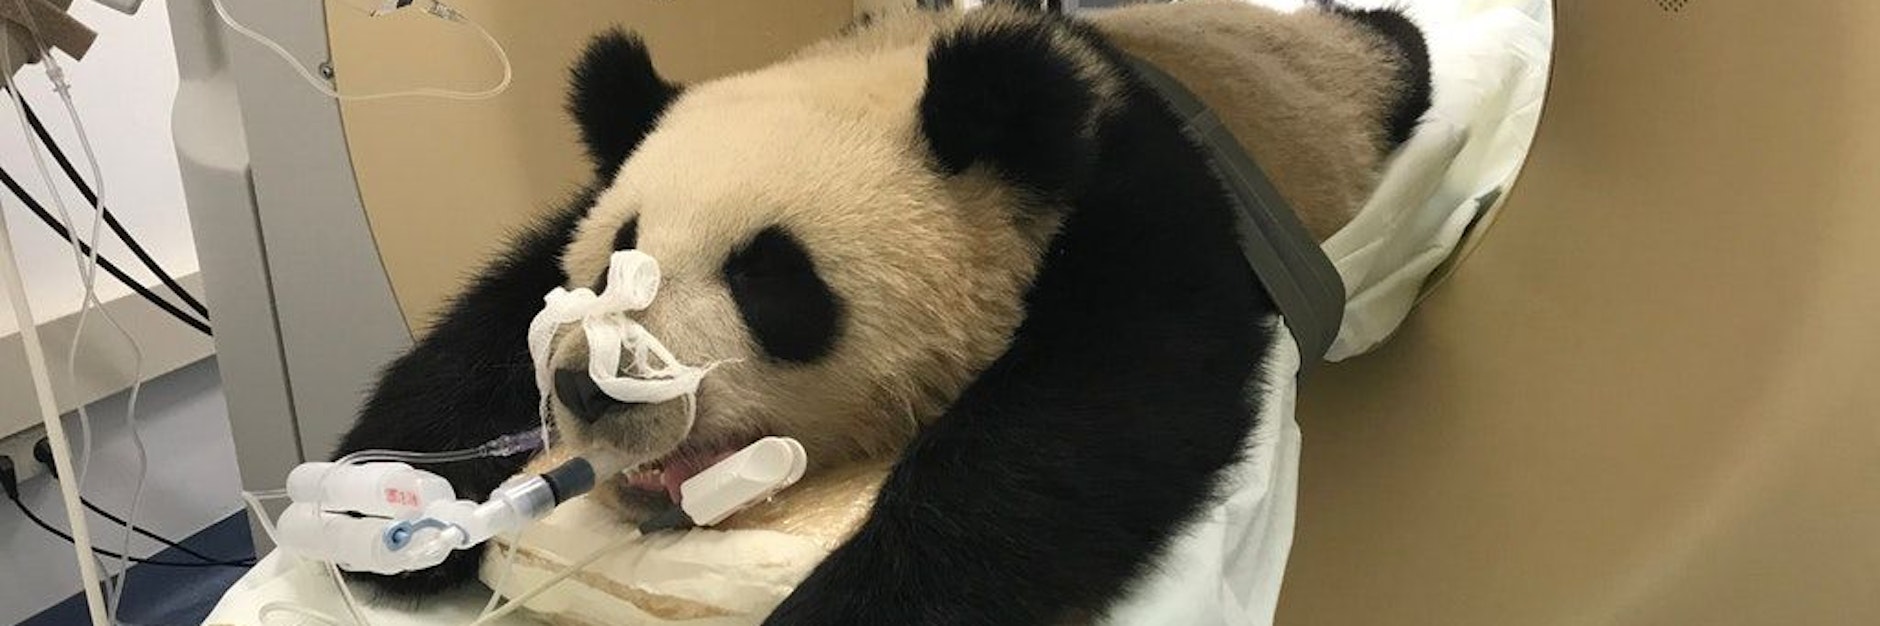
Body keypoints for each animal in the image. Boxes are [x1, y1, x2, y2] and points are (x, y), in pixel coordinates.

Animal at [335, 1, 1430, 623]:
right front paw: (381, 506)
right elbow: (493, 312)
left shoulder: (1129, 212)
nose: (589, 394)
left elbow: (1091, 416)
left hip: (1327, 92)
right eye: (615, 265)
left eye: (770, 279)